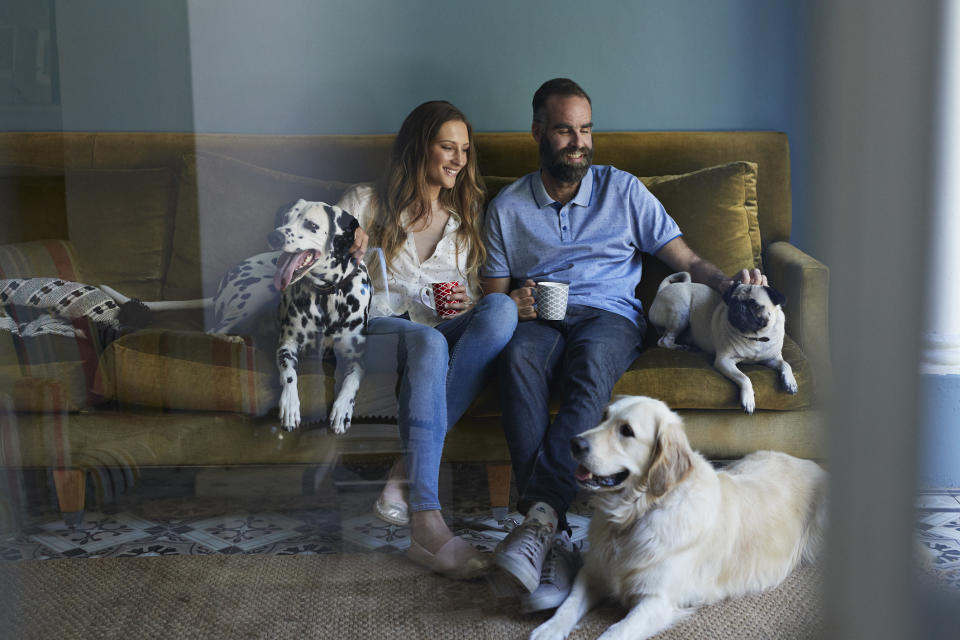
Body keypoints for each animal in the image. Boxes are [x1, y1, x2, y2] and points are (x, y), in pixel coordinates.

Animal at [648, 272, 800, 416]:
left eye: (755, 305)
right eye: (732, 301)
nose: (738, 307)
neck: (754, 337)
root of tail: (662, 290)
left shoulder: (772, 359)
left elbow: (786, 364)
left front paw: (790, 381)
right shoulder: (724, 361)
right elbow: (744, 378)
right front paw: (748, 399)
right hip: (680, 313)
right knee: (664, 340)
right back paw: (680, 347)